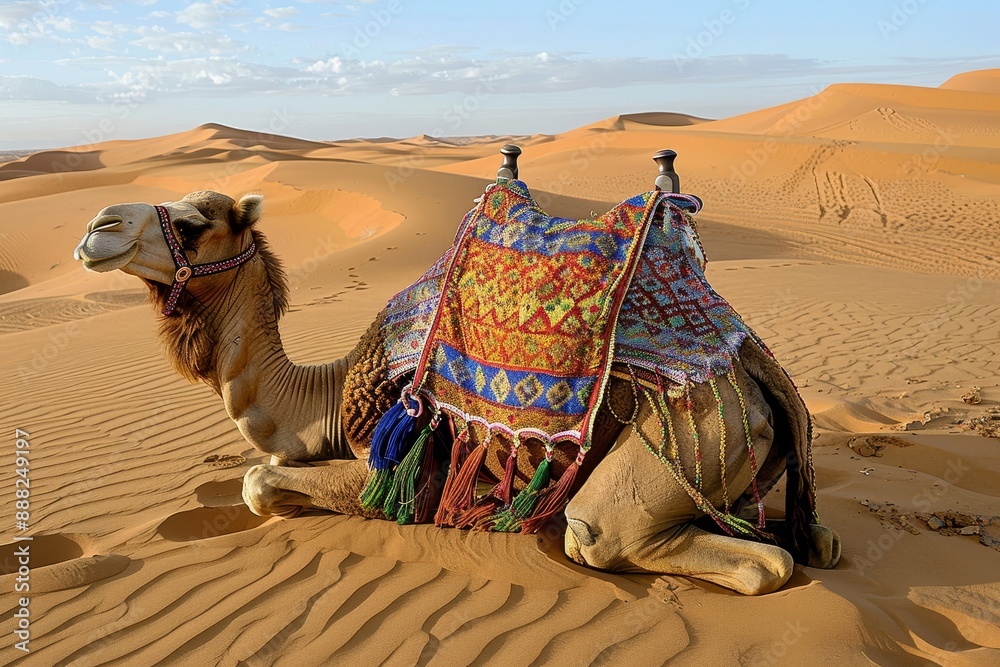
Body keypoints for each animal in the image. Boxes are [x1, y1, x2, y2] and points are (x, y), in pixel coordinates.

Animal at [74, 181, 840, 596]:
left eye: (194, 223)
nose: (96, 226)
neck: (323, 397)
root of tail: (754, 364)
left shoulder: (407, 469)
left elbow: (259, 481)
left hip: (692, 427)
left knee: (633, 539)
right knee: (809, 542)